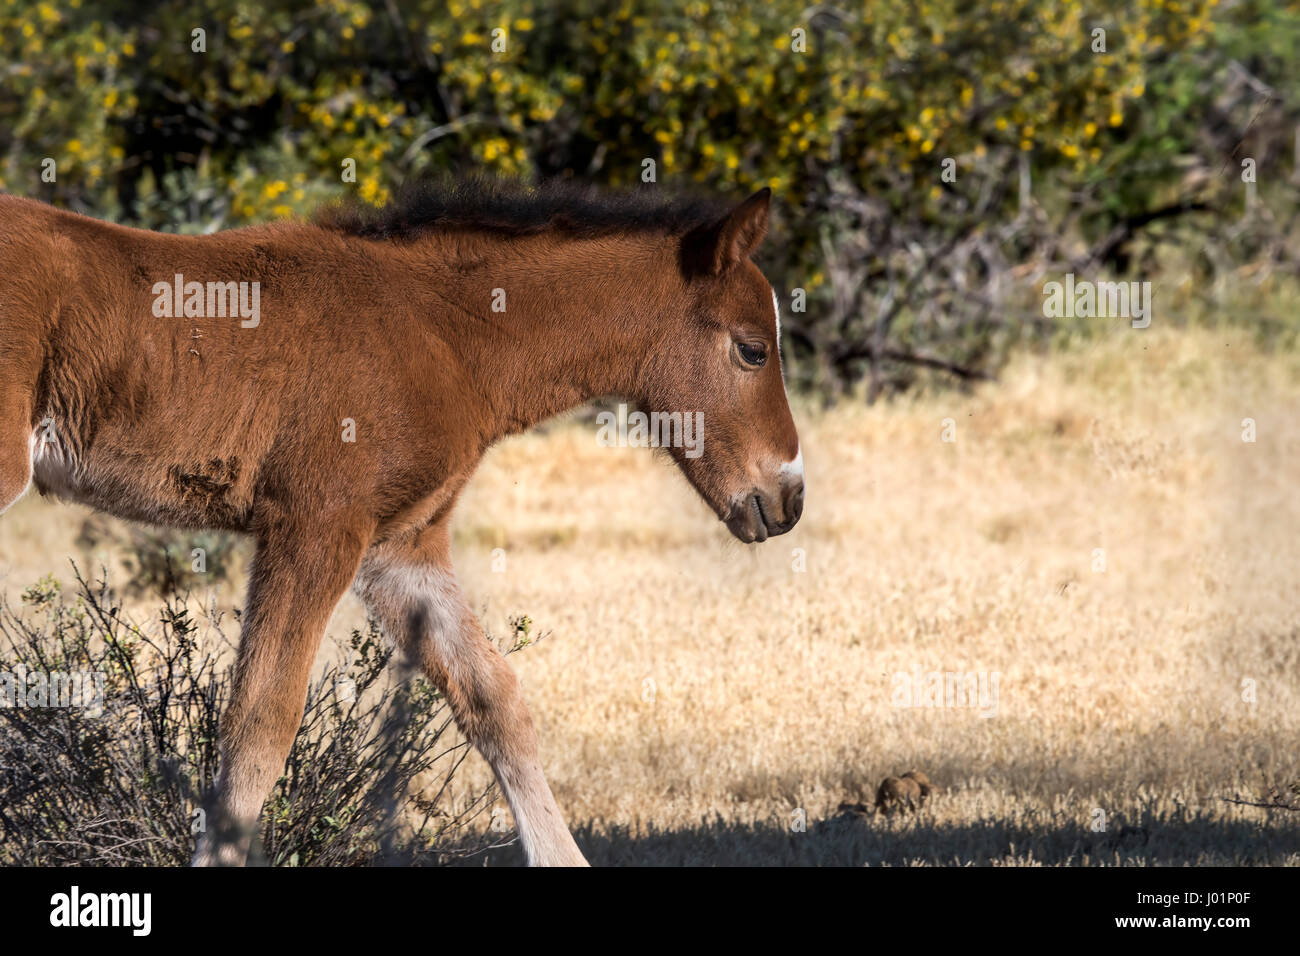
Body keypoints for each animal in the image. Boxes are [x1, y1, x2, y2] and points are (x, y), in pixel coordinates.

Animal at [0, 180, 800, 868]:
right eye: (752, 348)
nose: (788, 497)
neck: (445, 335)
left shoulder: (401, 547)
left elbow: (496, 703)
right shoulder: (317, 529)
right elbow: (260, 727)